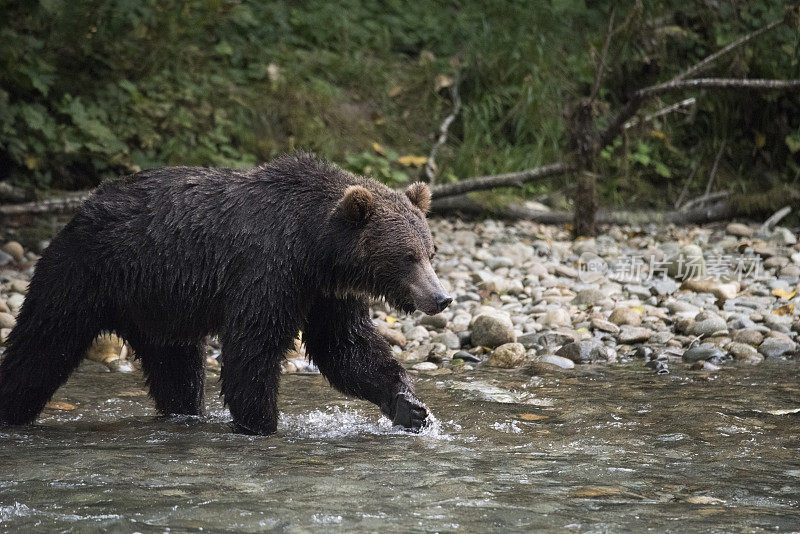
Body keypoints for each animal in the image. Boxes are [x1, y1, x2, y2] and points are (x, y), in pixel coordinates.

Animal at [0, 152, 450, 436]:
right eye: (407, 256)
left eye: (430, 251)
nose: (441, 297)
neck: (315, 246)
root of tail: (84, 205)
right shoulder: (268, 271)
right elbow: (253, 349)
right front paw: (261, 423)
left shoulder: (325, 293)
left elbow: (345, 348)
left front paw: (409, 406)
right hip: (85, 273)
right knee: (41, 347)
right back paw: (12, 409)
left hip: (161, 306)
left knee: (177, 370)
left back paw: (184, 414)